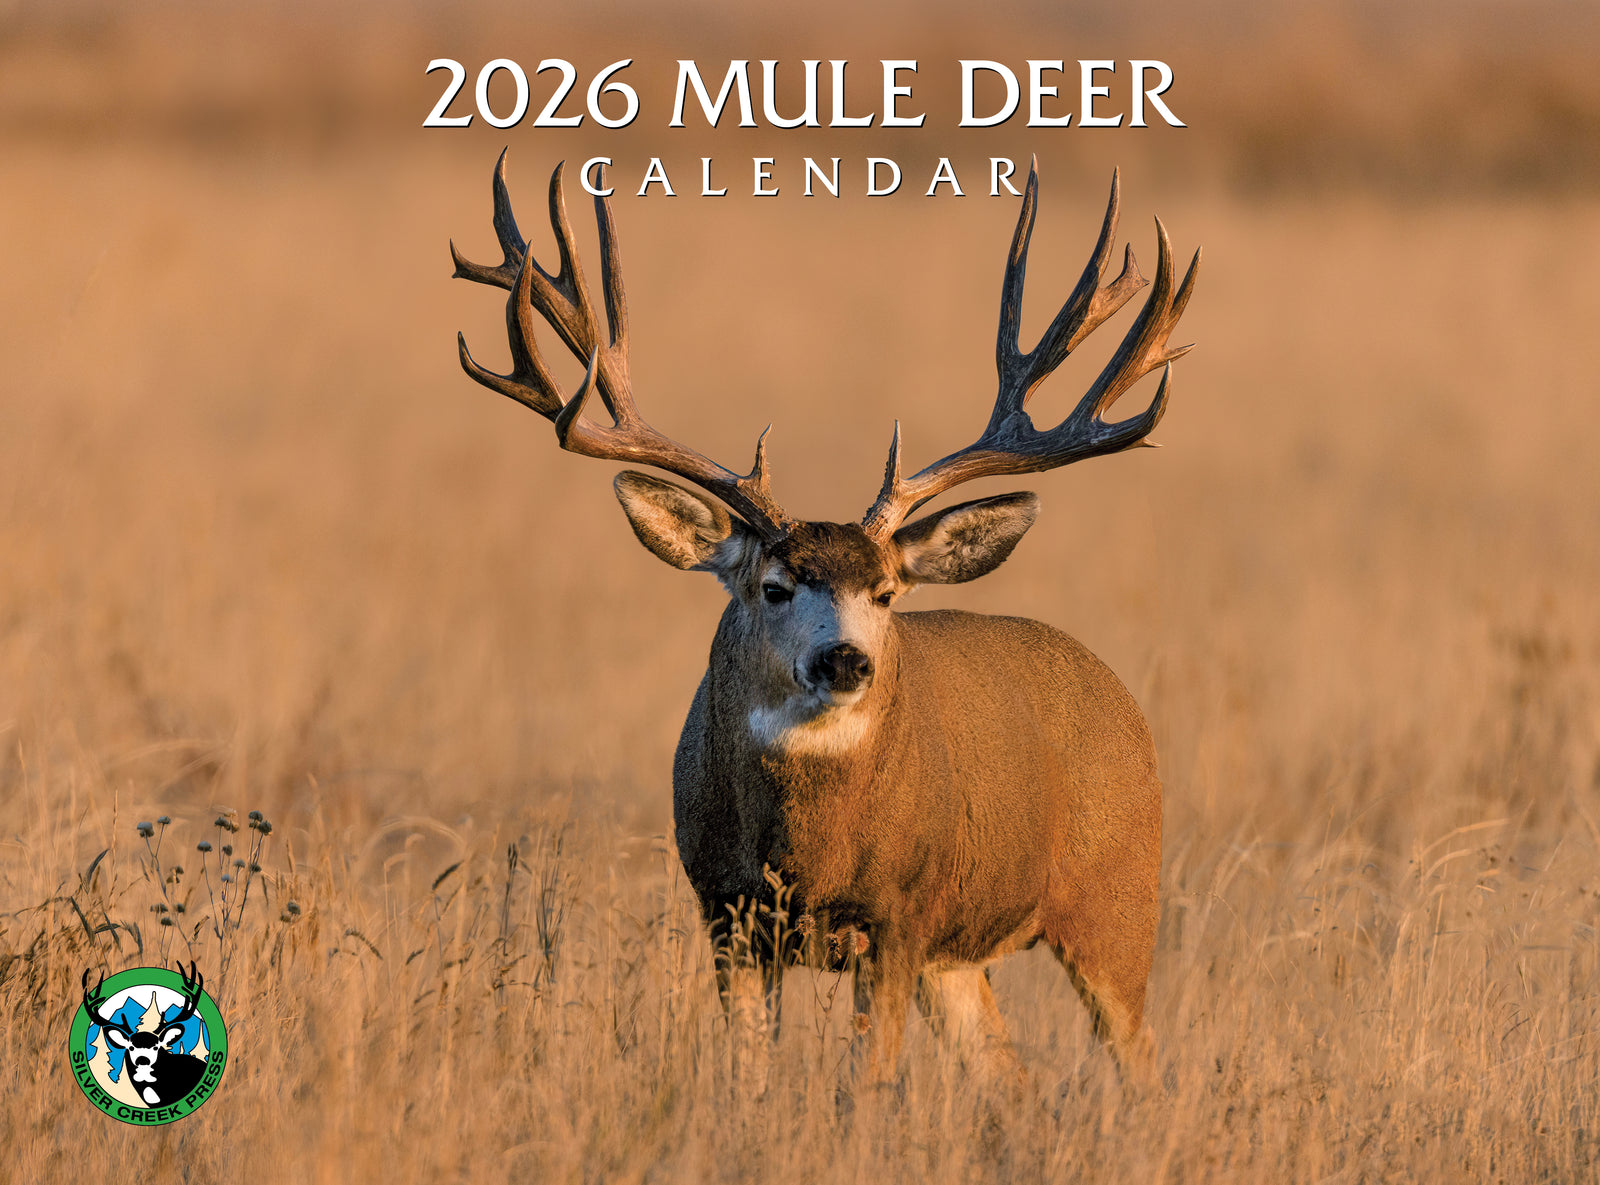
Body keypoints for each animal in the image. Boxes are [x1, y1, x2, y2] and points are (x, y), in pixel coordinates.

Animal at [449, 150, 1199, 1092]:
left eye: (885, 592)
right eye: (774, 584)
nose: (845, 661)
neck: (807, 852)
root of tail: (1119, 695)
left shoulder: (898, 917)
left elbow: (866, 1085)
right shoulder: (728, 915)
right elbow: (750, 1072)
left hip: (1118, 902)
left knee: (1141, 1060)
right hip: (966, 954)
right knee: (1007, 1071)